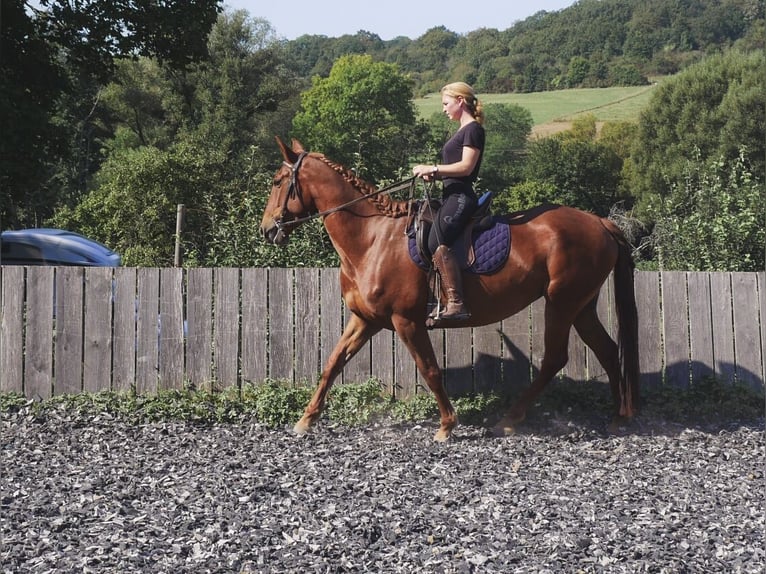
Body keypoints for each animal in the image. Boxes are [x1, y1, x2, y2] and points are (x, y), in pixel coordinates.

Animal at [260, 137, 640, 444]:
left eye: (278, 181)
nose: (266, 230)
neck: (372, 239)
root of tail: (600, 222)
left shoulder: (406, 321)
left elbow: (429, 369)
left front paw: (446, 426)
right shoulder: (365, 319)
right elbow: (333, 363)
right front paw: (305, 420)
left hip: (561, 303)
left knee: (555, 359)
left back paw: (509, 420)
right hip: (582, 305)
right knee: (607, 351)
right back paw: (618, 418)